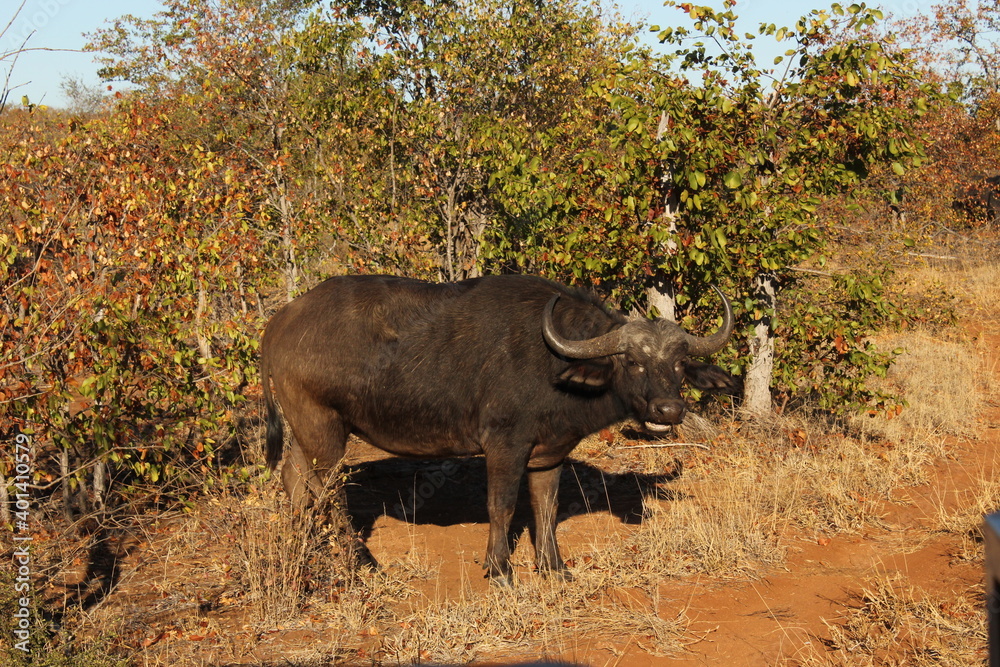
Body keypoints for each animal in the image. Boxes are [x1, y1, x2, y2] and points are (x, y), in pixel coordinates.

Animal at [261, 274, 737, 583]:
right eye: (632, 361)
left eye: (680, 363)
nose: (668, 409)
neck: (553, 364)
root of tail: (281, 321)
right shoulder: (505, 446)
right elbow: (502, 507)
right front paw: (501, 569)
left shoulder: (549, 452)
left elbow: (546, 508)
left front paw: (554, 568)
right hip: (325, 429)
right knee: (328, 493)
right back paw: (362, 563)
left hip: (307, 431)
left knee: (295, 480)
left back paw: (300, 545)